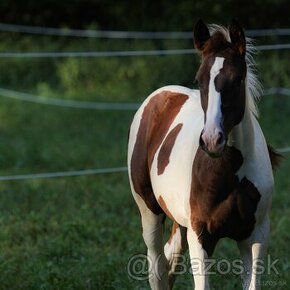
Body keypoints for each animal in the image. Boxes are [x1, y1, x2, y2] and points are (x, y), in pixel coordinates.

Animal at [127, 19, 278, 288]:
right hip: (150, 211)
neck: (232, 172)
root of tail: (159, 96)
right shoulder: (201, 235)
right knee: (157, 266)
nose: (212, 140)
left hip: (179, 220)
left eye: (237, 79)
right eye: (199, 80)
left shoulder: (256, 234)